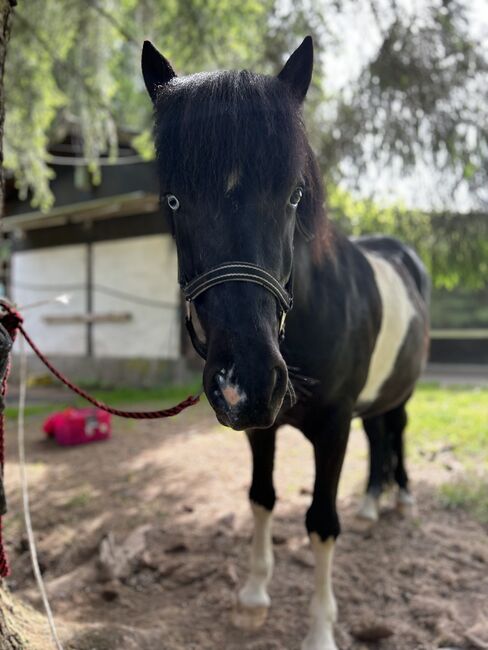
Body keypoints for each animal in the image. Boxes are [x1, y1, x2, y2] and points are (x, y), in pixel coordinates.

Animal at [140, 36, 428, 648]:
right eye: (173, 201)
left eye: (294, 195)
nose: (245, 379)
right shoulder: (261, 428)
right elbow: (261, 498)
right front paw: (253, 596)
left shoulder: (333, 426)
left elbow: (320, 522)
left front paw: (319, 629)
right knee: (380, 433)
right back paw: (374, 502)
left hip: (401, 391)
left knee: (396, 428)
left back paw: (402, 496)